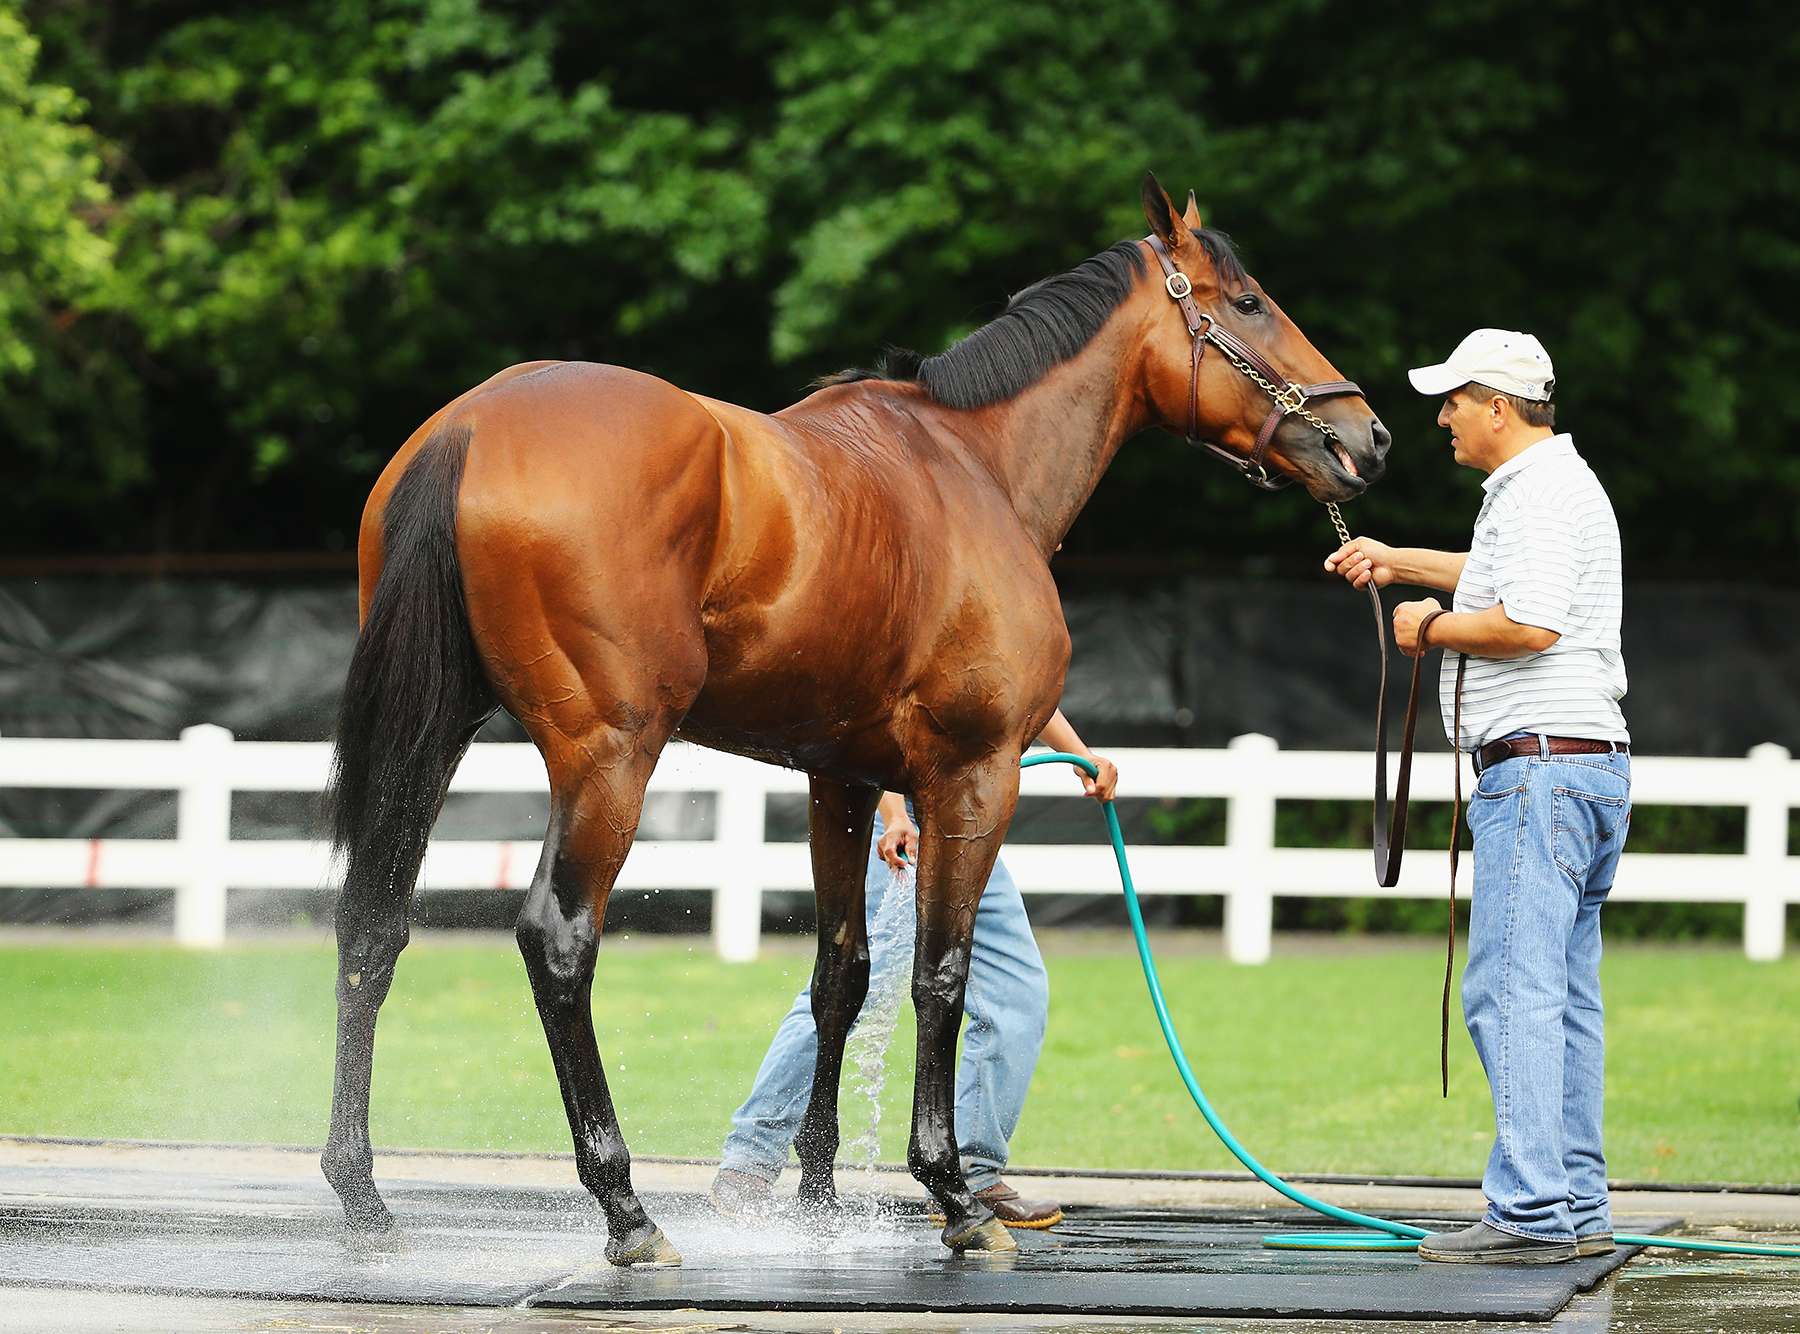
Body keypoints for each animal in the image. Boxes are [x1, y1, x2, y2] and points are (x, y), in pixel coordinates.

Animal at [320, 174, 1389, 1260]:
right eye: (1249, 302)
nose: (1367, 438)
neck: (975, 465)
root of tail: (470, 429)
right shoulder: (974, 773)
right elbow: (940, 975)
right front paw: (953, 1192)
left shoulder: (841, 777)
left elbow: (842, 971)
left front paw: (821, 1198)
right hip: (608, 756)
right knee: (559, 940)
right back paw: (625, 1206)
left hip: (434, 734)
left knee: (373, 925)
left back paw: (362, 1192)